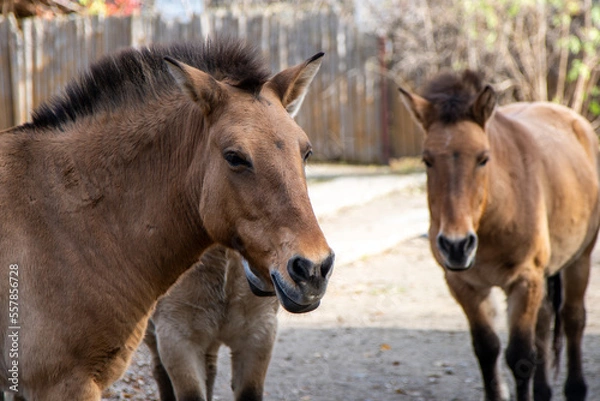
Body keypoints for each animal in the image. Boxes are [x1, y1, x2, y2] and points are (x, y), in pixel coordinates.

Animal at [145, 244, 278, 400]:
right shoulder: (177, 336)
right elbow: (191, 395)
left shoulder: (258, 332)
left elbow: (249, 393)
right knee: (159, 369)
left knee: (209, 370)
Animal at [398, 70, 600, 398]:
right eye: (427, 160)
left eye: (483, 158)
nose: (456, 246)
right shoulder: (464, 284)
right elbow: (487, 349)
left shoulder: (525, 281)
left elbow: (520, 357)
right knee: (545, 321)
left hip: (579, 260)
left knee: (572, 319)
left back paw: (575, 388)